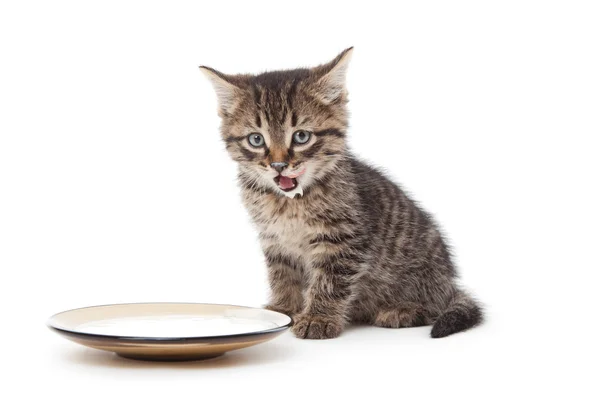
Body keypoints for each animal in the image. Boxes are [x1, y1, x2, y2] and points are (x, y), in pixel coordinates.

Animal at [200, 48, 482, 340]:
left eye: (301, 137)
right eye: (256, 140)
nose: (278, 165)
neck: (289, 203)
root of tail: (449, 283)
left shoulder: (343, 240)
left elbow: (330, 280)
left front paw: (318, 317)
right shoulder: (274, 239)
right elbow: (282, 274)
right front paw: (284, 308)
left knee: (434, 306)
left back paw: (402, 310)